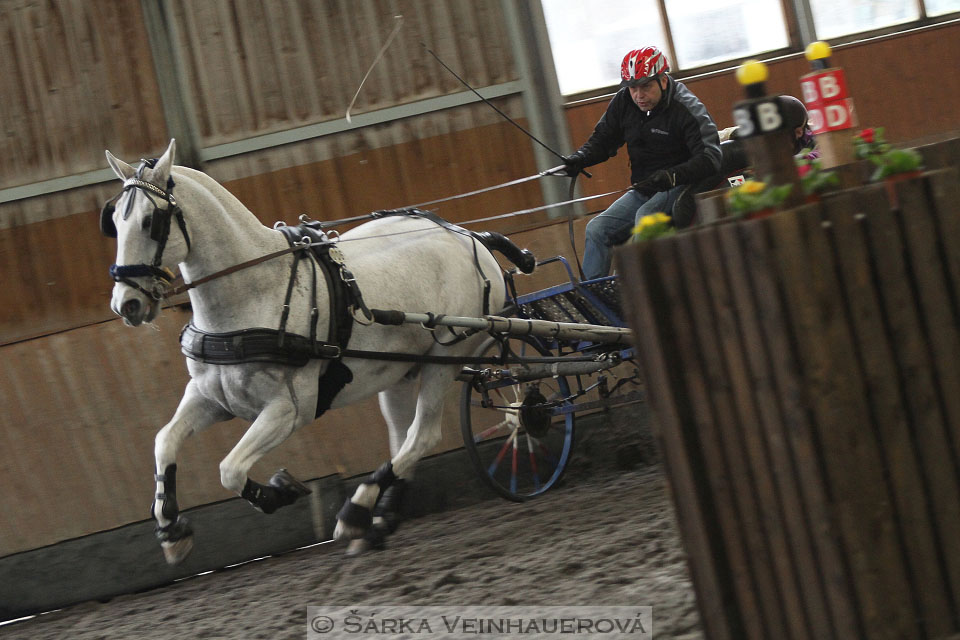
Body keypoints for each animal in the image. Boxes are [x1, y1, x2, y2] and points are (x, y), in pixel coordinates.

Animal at [104, 139, 536, 560]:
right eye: (114, 222)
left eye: (151, 221)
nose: (127, 304)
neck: (257, 292)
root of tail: (470, 237)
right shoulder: (210, 398)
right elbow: (165, 440)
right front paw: (171, 529)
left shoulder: (289, 410)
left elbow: (230, 469)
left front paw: (280, 490)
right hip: (397, 372)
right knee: (403, 440)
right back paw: (379, 520)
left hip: (443, 360)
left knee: (423, 436)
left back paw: (356, 511)